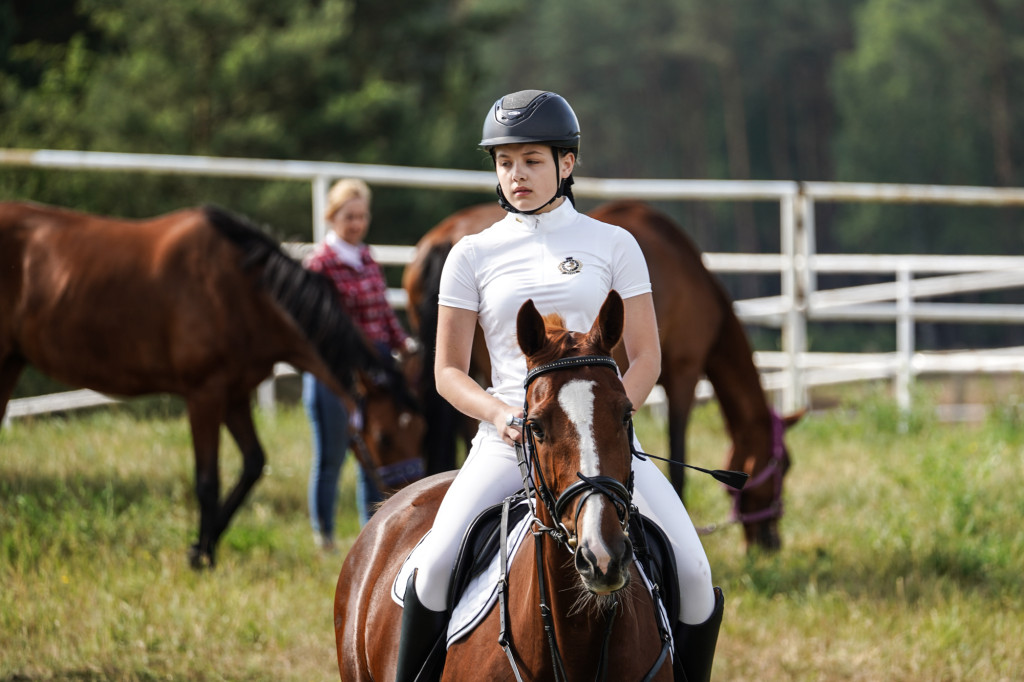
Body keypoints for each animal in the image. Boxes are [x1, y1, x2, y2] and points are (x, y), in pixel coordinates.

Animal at [1, 199, 415, 565]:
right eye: (383, 438)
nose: (404, 506)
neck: (243, 292)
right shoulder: (204, 394)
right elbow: (207, 479)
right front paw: (200, 555)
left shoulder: (234, 395)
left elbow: (253, 464)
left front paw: (205, 546)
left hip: (10, 362)